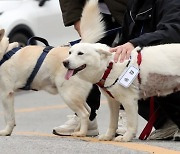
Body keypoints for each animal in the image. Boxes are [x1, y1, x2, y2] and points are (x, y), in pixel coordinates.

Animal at [0, 0, 105, 137]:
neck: (4, 52)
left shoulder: (6, 94)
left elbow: (8, 117)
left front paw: (6, 132)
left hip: (69, 95)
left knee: (84, 113)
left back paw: (80, 133)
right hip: (76, 96)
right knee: (88, 111)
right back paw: (78, 130)